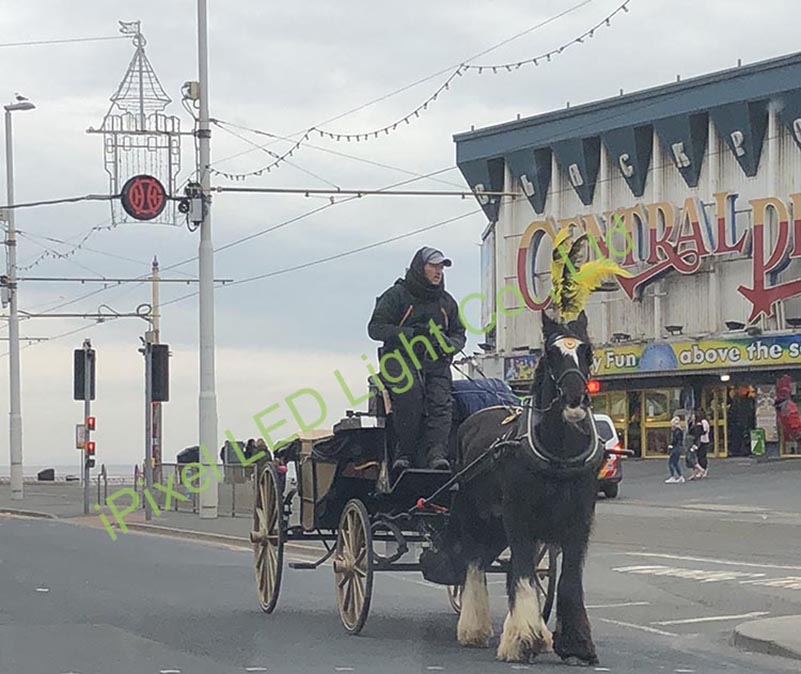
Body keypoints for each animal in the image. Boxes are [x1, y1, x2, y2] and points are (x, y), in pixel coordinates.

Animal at [444, 308, 600, 660]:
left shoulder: (579, 522)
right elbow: (524, 572)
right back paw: (473, 627)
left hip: (495, 524)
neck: (558, 456)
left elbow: (568, 579)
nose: (575, 400)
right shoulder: (520, 519)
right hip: (475, 515)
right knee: (474, 563)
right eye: (552, 353)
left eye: (587, 352)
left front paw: (577, 643)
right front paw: (524, 638)